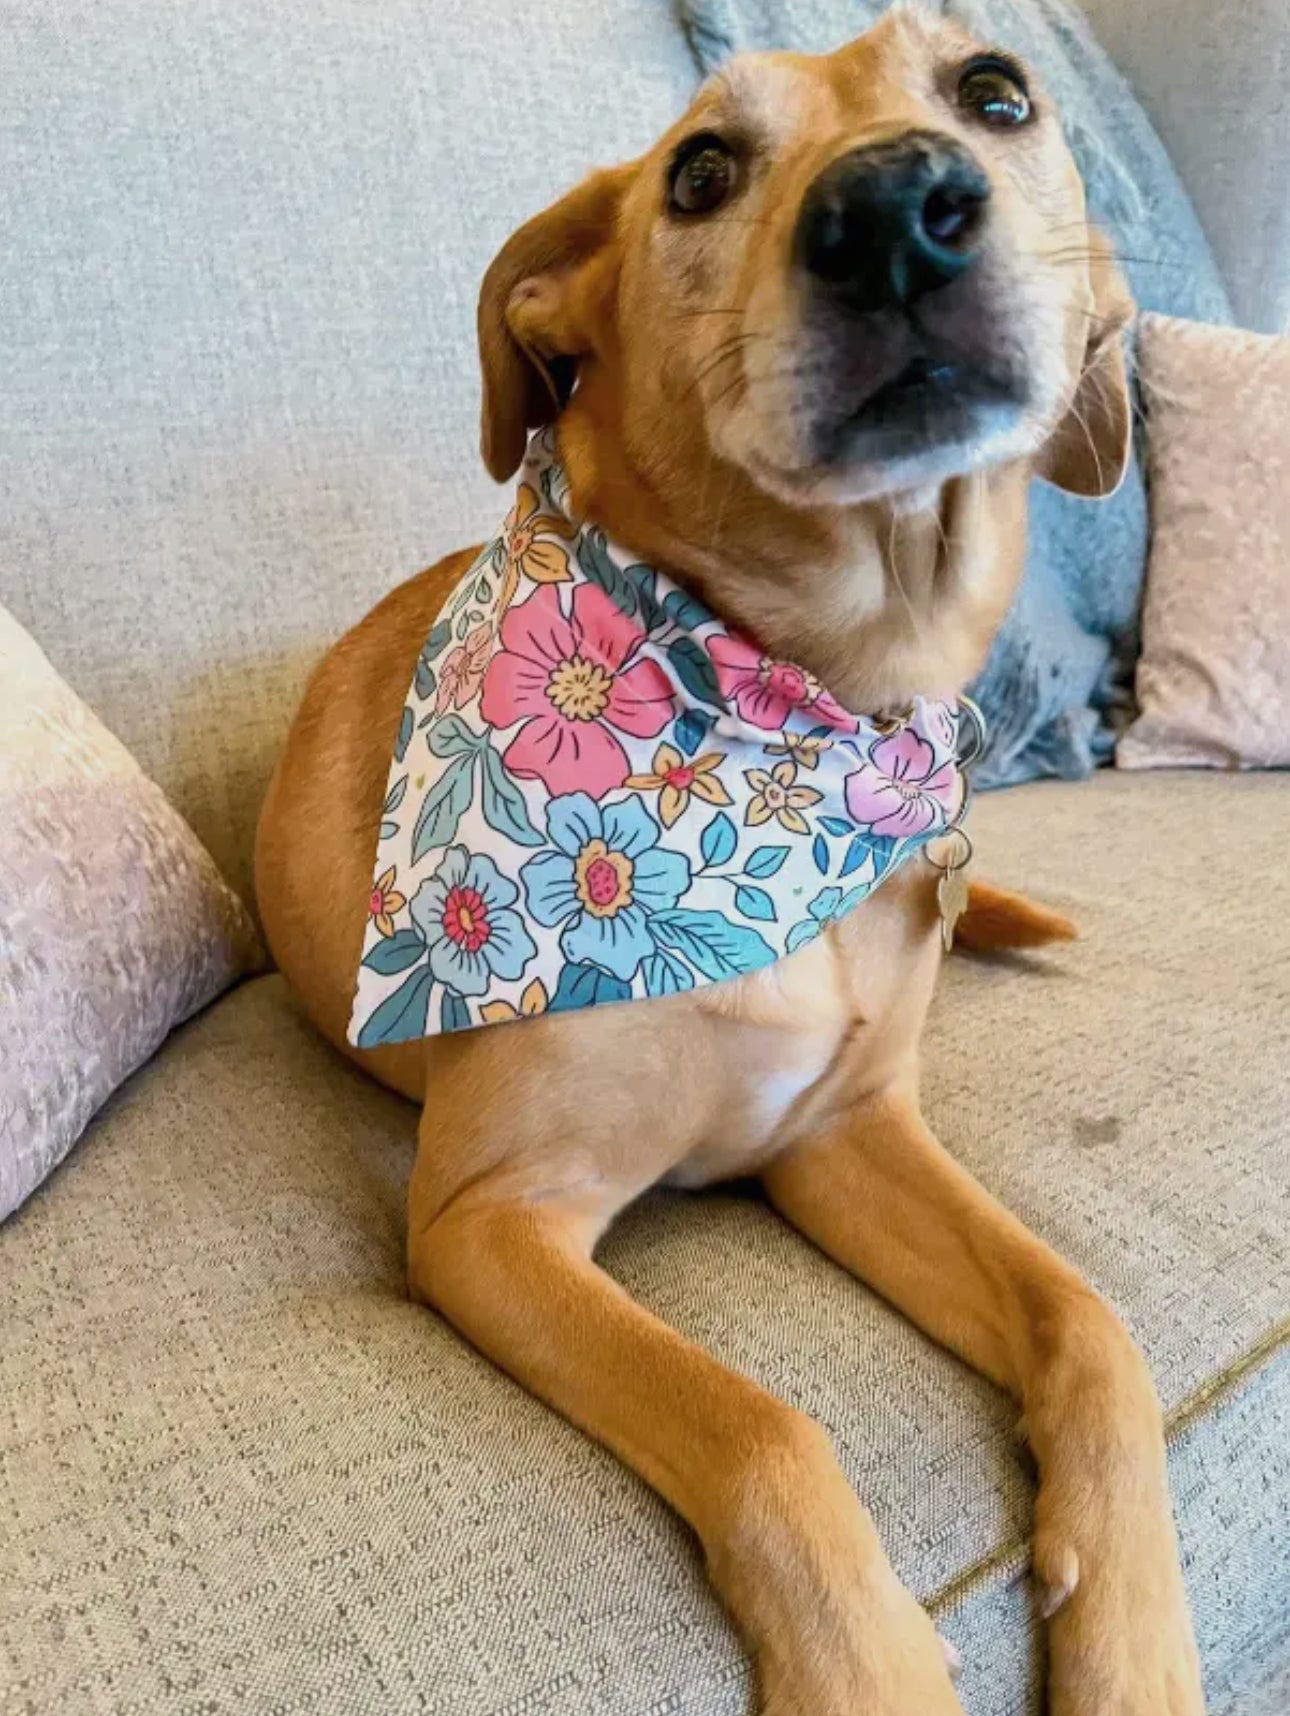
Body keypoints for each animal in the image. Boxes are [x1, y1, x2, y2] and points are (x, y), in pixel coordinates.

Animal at [257, 16, 1207, 1716]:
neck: (800, 721)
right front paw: (872, 1670)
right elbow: (762, 1429)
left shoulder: (841, 1133)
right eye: (698, 171)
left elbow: (1090, 1323)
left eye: (997, 91)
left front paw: (1133, 1642)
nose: (895, 210)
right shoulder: (489, 1221)